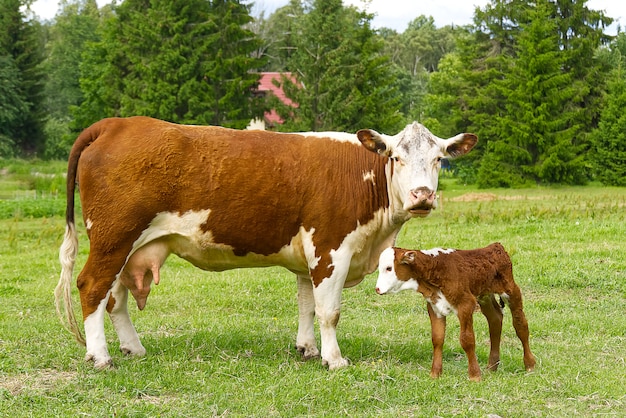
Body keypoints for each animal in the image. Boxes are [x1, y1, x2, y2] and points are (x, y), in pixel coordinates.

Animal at [56, 115, 476, 370]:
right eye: (397, 157)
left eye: (438, 159)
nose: (422, 196)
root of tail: (118, 123)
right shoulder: (331, 249)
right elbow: (329, 311)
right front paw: (334, 359)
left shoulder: (309, 256)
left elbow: (307, 305)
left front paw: (308, 349)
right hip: (113, 238)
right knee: (92, 287)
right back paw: (100, 356)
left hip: (128, 249)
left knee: (116, 297)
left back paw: (133, 347)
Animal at [372, 242, 532, 382]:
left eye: (389, 268)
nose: (377, 289)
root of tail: (495, 247)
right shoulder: (435, 308)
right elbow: (437, 339)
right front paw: (435, 374)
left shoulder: (465, 304)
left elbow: (467, 340)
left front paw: (474, 376)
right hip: (484, 295)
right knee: (495, 319)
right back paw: (492, 366)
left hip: (511, 291)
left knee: (521, 325)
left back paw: (530, 364)